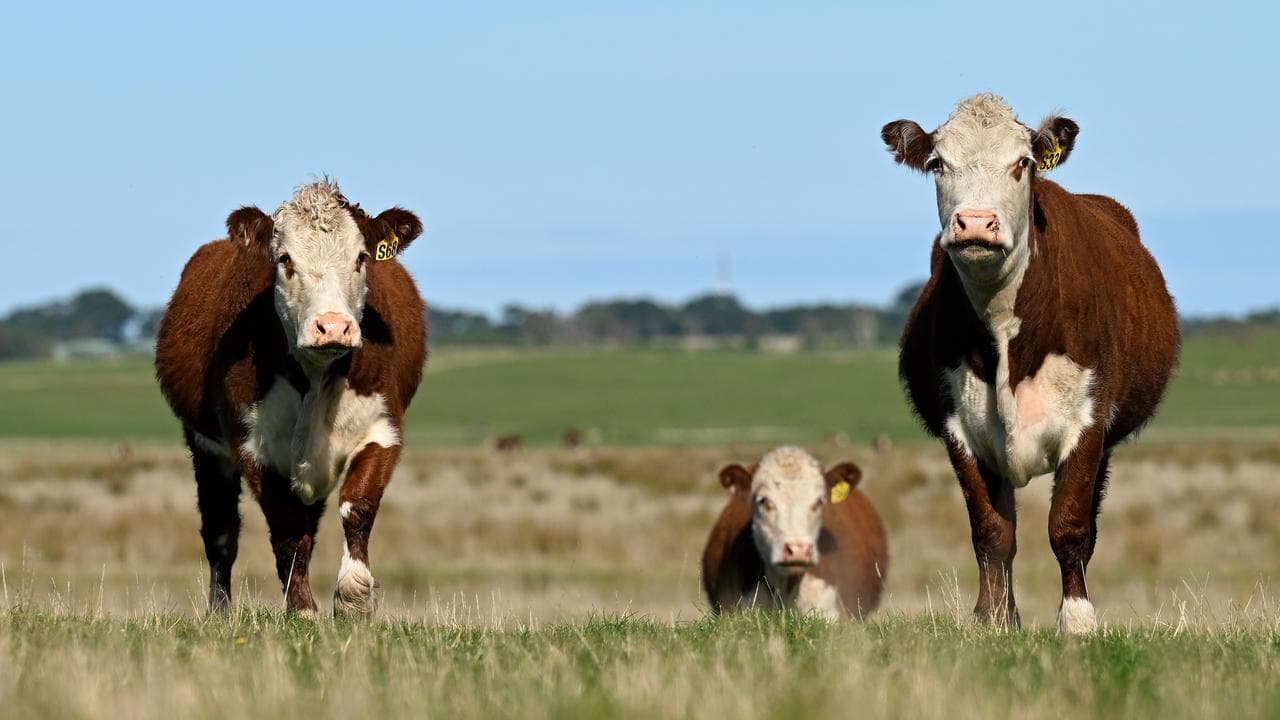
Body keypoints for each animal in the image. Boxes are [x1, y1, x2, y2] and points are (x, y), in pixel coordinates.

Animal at [154, 179, 426, 618]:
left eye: (361, 258)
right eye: (284, 259)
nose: (332, 326)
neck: (315, 375)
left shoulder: (383, 429)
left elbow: (357, 507)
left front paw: (353, 598)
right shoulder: (251, 446)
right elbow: (285, 530)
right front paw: (302, 609)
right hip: (205, 447)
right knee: (221, 532)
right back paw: (220, 610)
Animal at [880, 94, 1179, 633]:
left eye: (1022, 163)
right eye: (937, 163)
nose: (976, 222)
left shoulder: (1088, 422)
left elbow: (1069, 526)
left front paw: (1077, 619)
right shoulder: (961, 427)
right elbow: (992, 531)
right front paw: (995, 618)